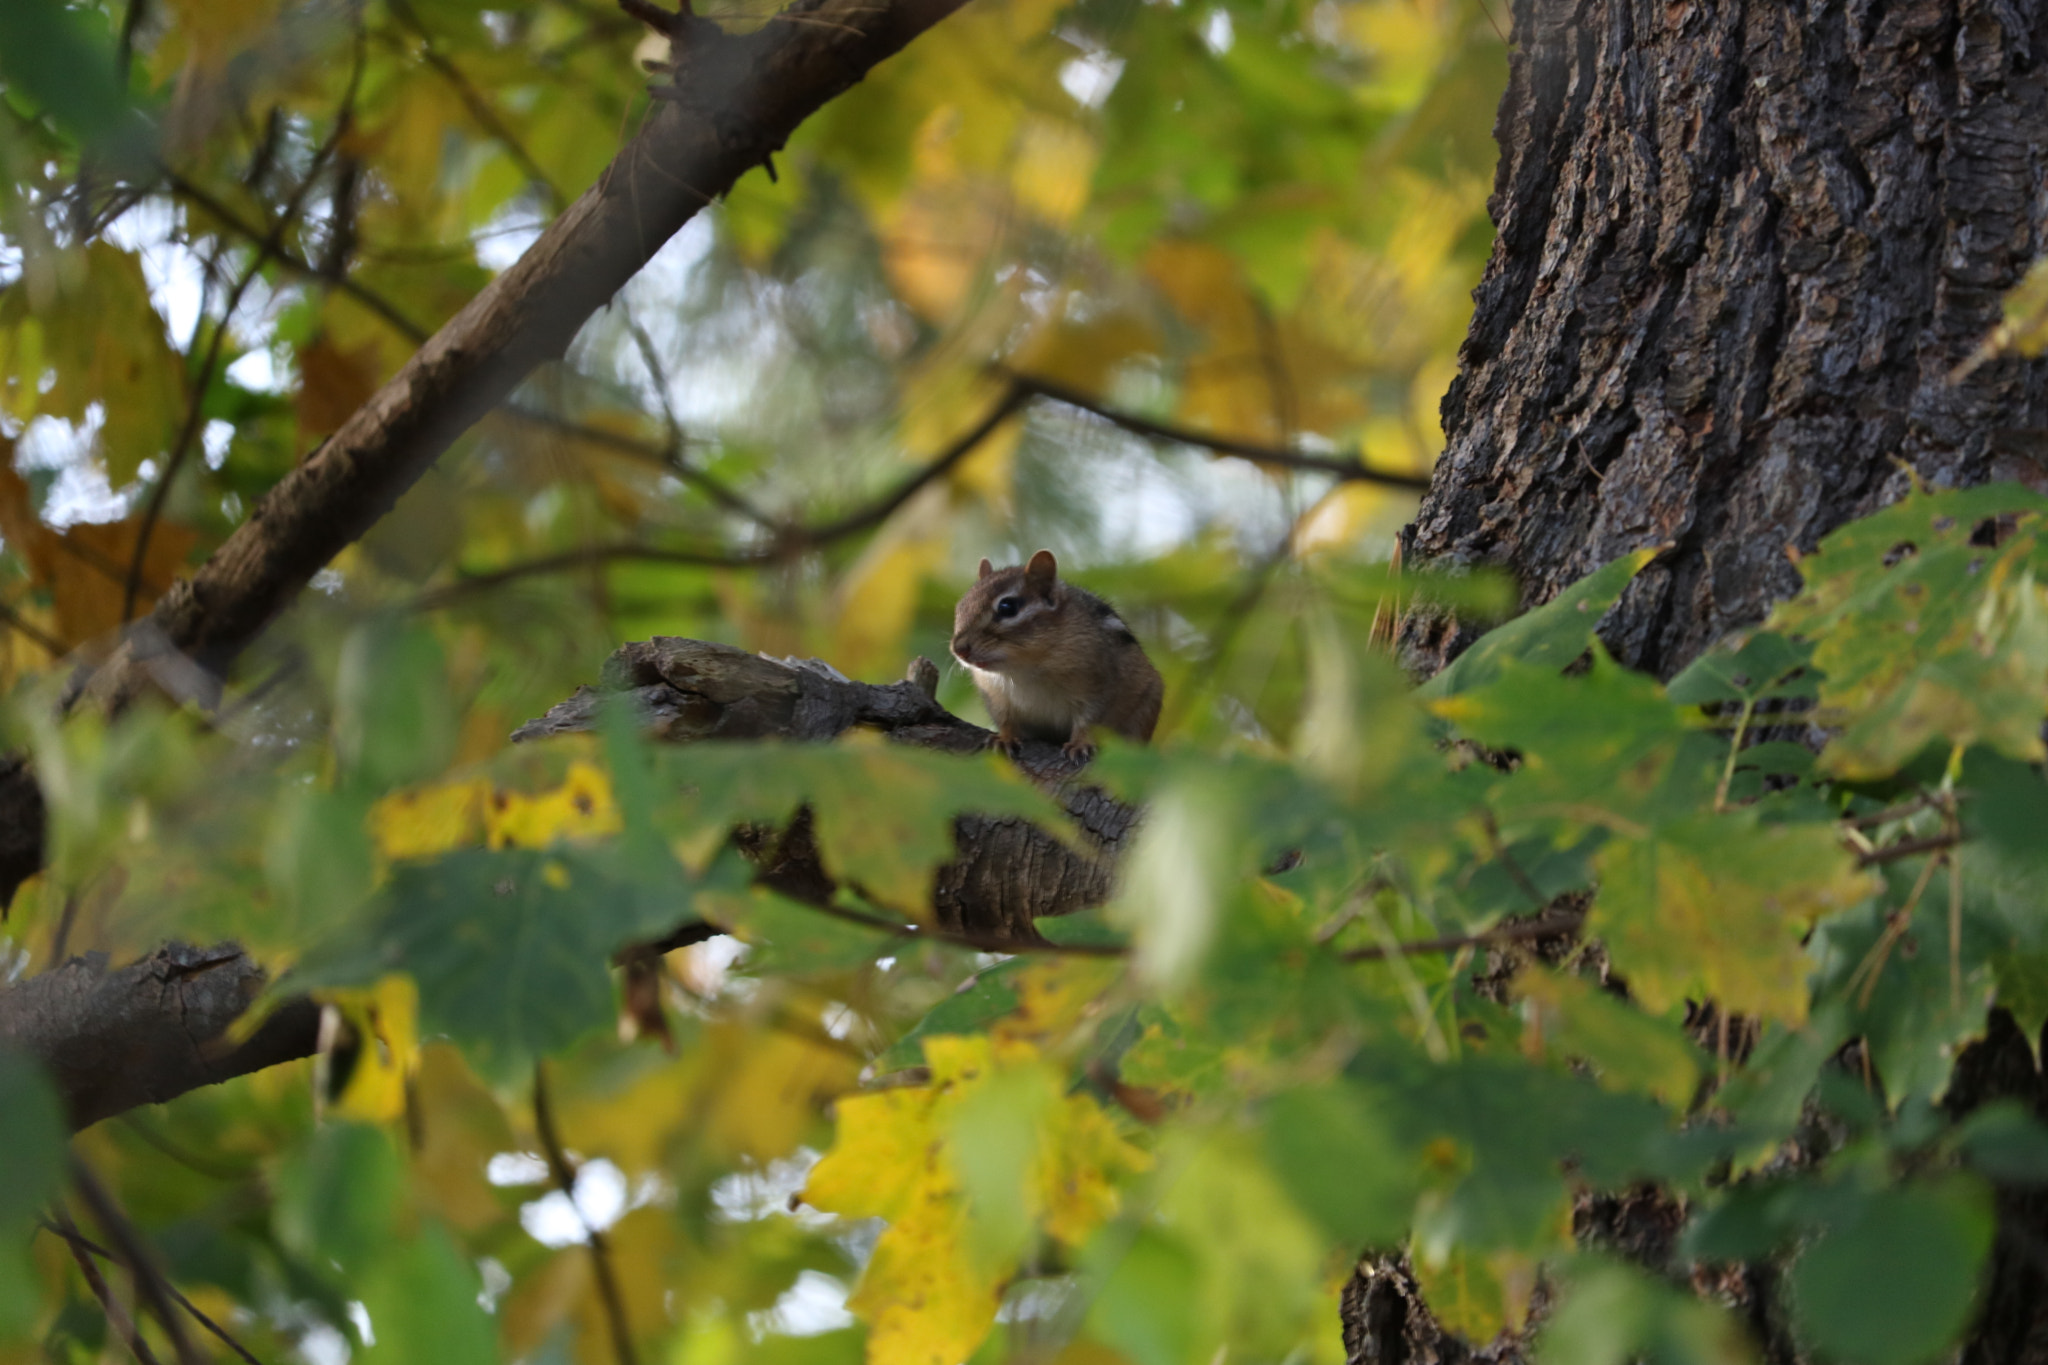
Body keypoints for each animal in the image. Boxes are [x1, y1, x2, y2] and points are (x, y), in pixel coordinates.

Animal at [950, 549, 1164, 760]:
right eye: (960, 607)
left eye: (1007, 607)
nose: (959, 649)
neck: (1023, 668)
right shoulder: (995, 695)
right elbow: (1005, 719)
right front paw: (1005, 737)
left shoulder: (1099, 684)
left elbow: (1089, 720)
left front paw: (1080, 744)